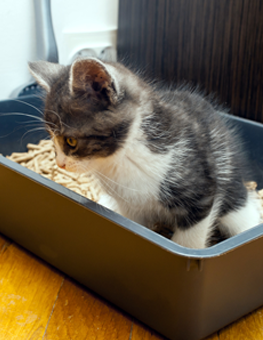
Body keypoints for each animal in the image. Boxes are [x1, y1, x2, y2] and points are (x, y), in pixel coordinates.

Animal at [28, 57, 262, 250]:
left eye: (71, 141)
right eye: (52, 138)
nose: (60, 164)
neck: (123, 157)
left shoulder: (200, 191)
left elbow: (190, 240)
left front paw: (187, 249)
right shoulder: (130, 207)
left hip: (231, 187)